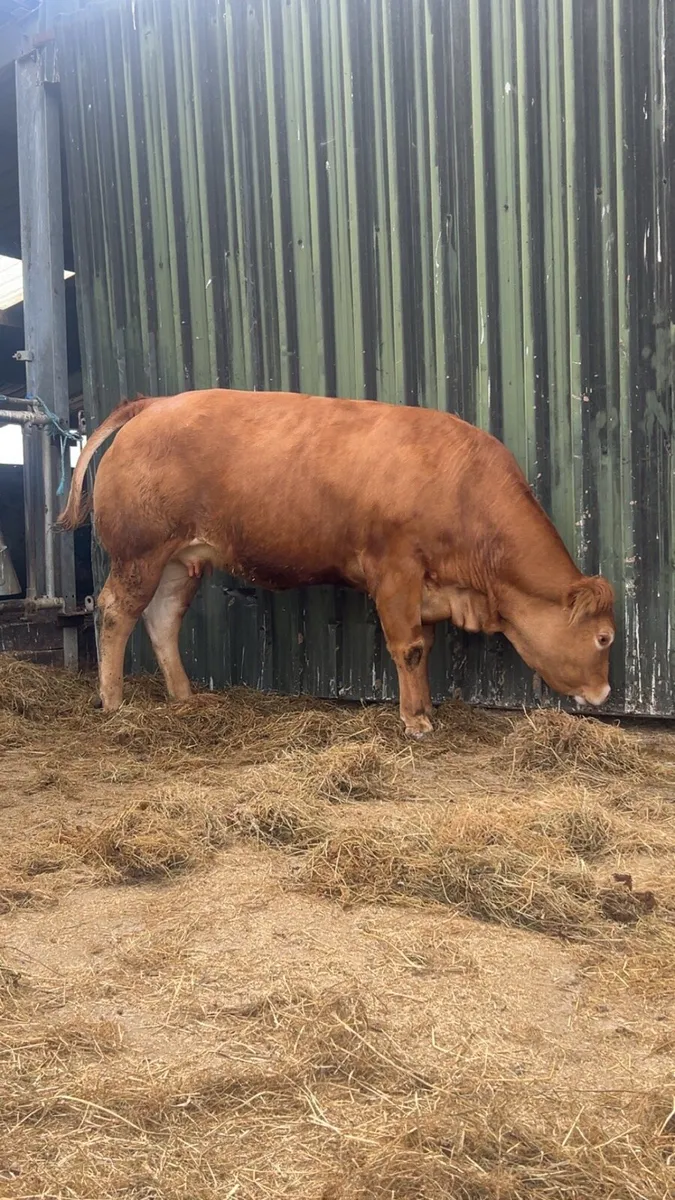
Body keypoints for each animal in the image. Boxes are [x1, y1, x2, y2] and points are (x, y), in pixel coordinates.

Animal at [58, 389, 615, 736]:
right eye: (604, 638)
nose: (605, 692)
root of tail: (155, 405)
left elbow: (424, 647)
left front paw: (424, 708)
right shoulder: (395, 571)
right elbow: (409, 647)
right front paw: (416, 721)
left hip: (180, 558)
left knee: (163, 618)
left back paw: (184, 697)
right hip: (139, 552)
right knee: (115, 612)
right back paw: (112, 699)